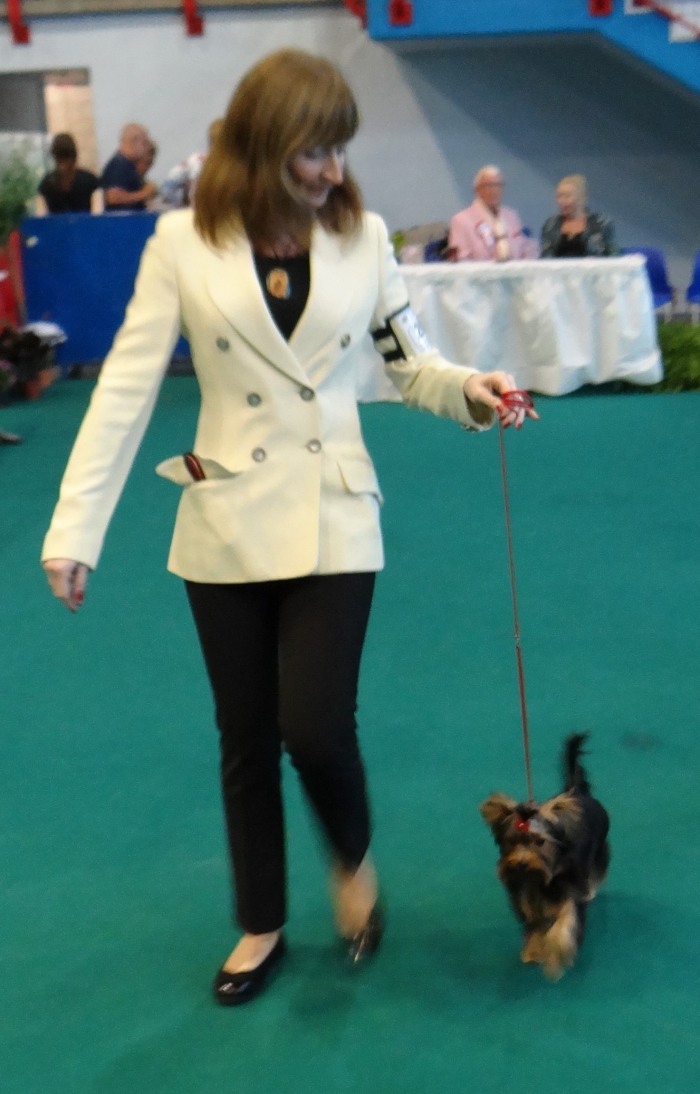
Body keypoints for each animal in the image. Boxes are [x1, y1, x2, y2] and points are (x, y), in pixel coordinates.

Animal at [479, 734, 610, 980]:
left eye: (540, 842)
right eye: (512, 841)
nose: (521, 863)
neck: (537, 877)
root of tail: (577, 790)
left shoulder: (569, 889)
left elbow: (566, 921)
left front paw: (555, 955)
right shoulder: (526, 894)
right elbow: (534, 926)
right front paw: (532, 951)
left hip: (600, 848)